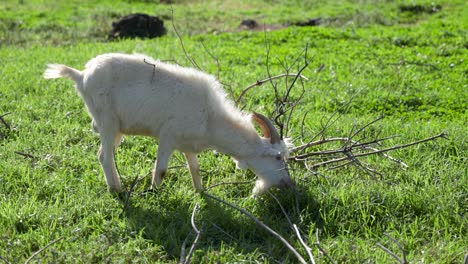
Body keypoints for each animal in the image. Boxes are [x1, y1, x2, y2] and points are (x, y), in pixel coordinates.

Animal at [44, 52, 292, 195]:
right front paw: (155, 194)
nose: (287, 184)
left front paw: (201, 193)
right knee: (104, 157)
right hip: (107, 121)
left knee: (104, 155)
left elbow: (194, 168)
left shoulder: (187, 144)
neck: (210, 118)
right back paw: (116, 190)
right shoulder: (168, 136)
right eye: (277, 157)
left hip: (115, 128)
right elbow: (161, 169)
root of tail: (81, 75)